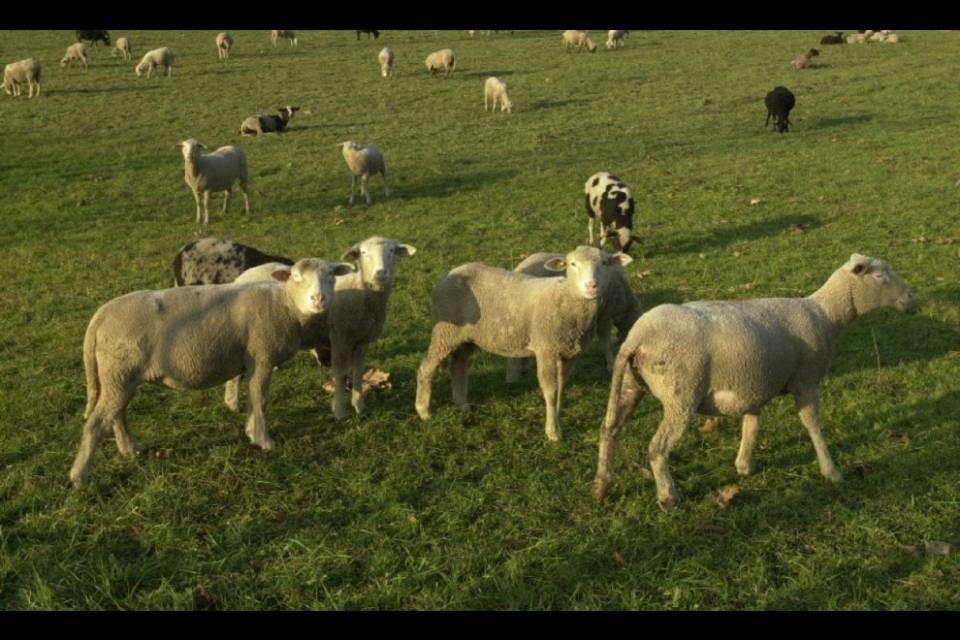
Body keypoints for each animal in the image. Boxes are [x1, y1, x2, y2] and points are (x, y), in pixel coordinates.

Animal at [68, 258, 355, 488]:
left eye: (331, 277)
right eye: (297, 277)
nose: (318, 299)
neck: (284, 305)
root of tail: (99, 316)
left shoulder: (253, 361)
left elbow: (253, 398)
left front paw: (250, 431)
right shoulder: (262, 356)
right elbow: (260, 397)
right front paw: (263, 440)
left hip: (120, 376)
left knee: (117, 413)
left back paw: (129, 449)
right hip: (120, 372)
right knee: (97, 422)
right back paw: (79, 476)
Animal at [224, 237, 417, 419]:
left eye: (392, 251)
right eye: (363, 252)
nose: (381, 273)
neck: (363, 296)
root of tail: (242, 276)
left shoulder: (362, 340)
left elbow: (357, 372)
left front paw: (359, 407)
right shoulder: (339, 338)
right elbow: (340, 374)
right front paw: (340, 411)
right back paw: (232, 404)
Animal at [592, 254, 917, 512]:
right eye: (879, 276)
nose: (912, 299)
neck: (825, 315)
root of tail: (636, 337)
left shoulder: (754, 384)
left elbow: (751, 425)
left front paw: (744, 466)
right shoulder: (806, 381)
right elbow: (812, 425)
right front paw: (831, 471)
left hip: (631, 385)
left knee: (609, 430)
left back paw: (601, 486)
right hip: (680, 395)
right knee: (657, 448)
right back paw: (668, 497)